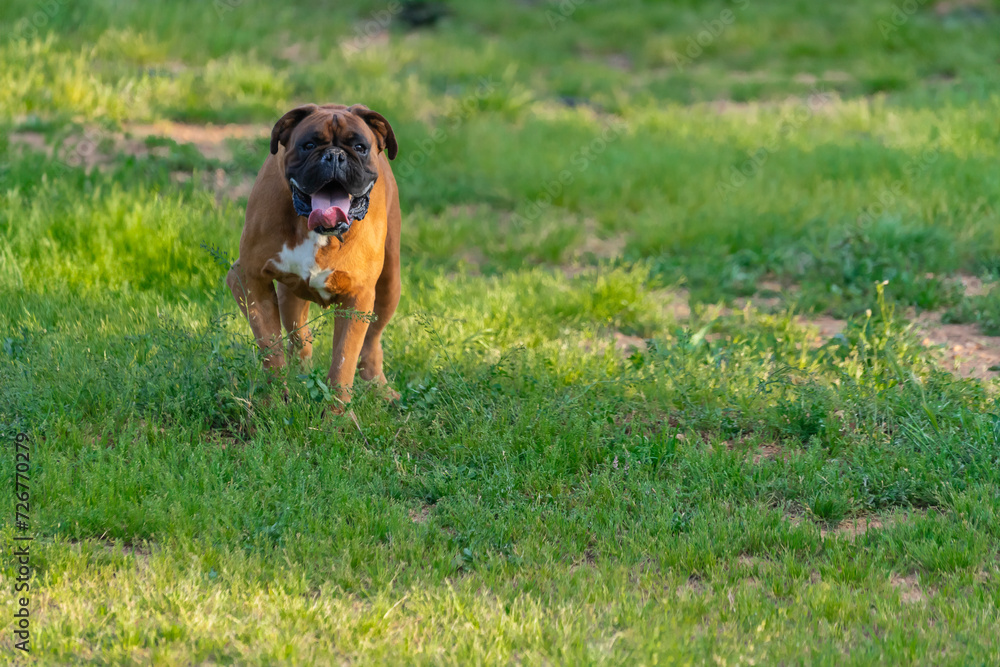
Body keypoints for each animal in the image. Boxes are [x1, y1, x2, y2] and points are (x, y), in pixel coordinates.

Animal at [229, 104, 400, 410]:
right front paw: (275, 401)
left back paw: (379, 388)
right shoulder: (248, 279)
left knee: (371, 341)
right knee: (299, 337)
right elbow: (270, 345)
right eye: (308, 145)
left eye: (360, 147)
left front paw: (338, 416)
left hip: (389, 284)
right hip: (289, 297)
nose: (334, 155)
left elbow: (343, 361)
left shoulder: (357, 299)